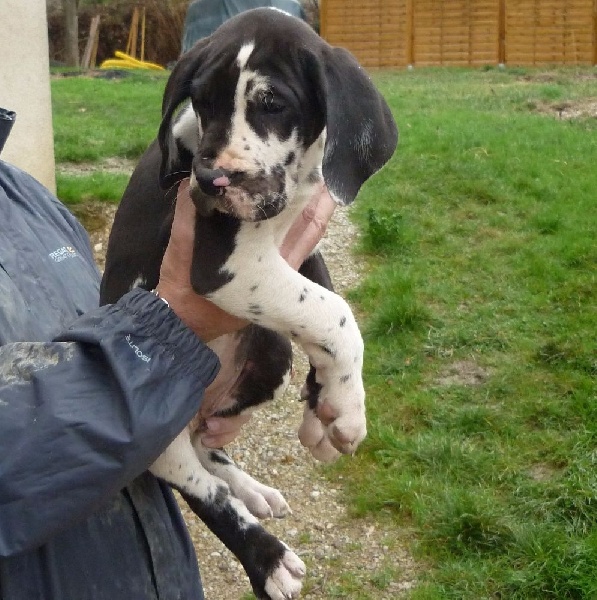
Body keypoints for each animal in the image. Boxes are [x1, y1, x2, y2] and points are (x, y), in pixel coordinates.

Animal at [100, 8, 398, 600]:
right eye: (201, 100)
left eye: (272, 103)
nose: (210, 180)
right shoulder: (229, 267)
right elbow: (335, 312)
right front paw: (349, 411)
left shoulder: (300, 245)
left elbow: (324, 300)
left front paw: (328, 407)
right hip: (159, 441)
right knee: (202, 490)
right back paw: (269, 560)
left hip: (270, 355)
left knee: (208, 446)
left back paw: (252, 488)